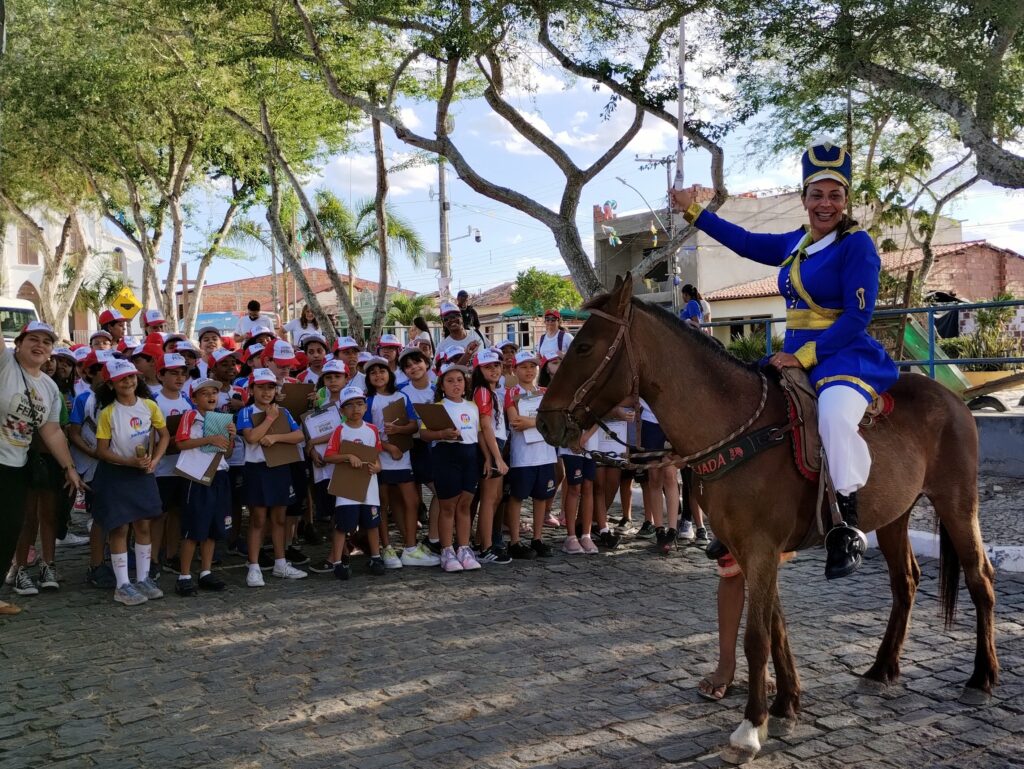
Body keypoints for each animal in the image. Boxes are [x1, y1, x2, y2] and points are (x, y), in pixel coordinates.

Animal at [536, 273, 998, 764]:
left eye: (585, 347)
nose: (545, 422)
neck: (737, 426)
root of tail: (953, 399)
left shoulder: (759, 549)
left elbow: (756, 637)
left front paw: (750, 727)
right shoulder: (753, 550)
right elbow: (776, 627)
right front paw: (785, 702)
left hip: (957, 502)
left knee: (979, 577)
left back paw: (981, 677)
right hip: (895, 516)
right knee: (905, 582)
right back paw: (882, 667)